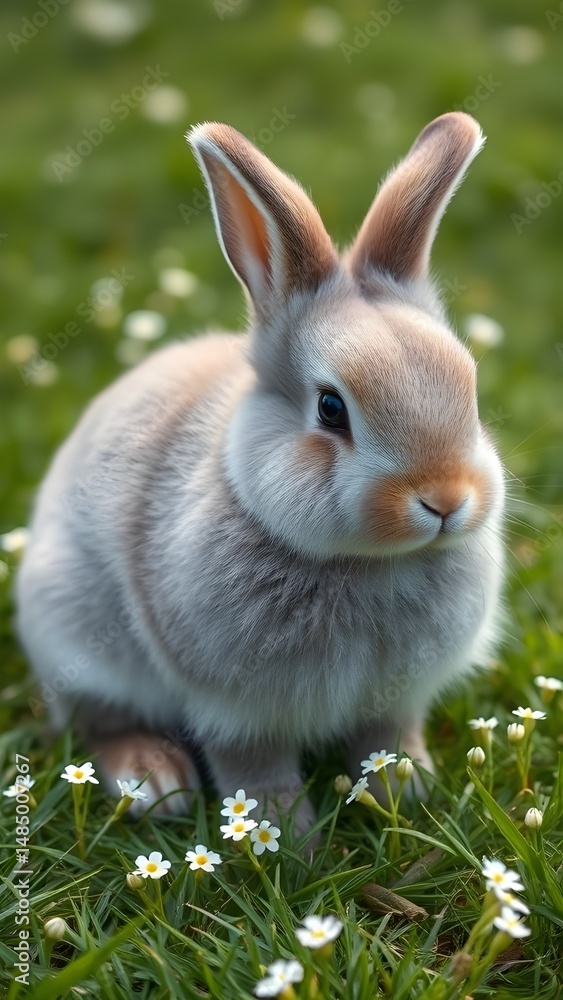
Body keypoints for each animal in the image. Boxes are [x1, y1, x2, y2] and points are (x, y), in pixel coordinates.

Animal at [16, 112, 505, 833]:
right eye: (331, 409)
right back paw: (156, 781)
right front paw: (283, 833)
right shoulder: (234, 709)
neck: (368, 563)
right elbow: (253, 766)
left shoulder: (394, 700)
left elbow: (386, 740)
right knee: (99, 723)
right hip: (76, 639)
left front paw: (406, 793)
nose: (445, 500)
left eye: (469, 388)